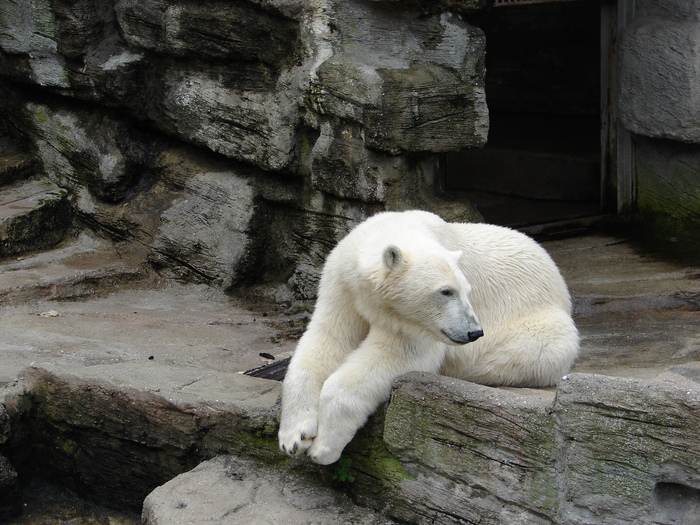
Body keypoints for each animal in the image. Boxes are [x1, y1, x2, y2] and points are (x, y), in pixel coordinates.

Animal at [278, 209, 580, 462]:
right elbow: (328, 339)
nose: (474, 331)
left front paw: (323, 448)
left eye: (467, 290)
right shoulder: (343, 284)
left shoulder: (416, 324)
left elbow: (397, 353)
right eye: (445, 291)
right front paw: (294, 437)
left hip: (538, 320)